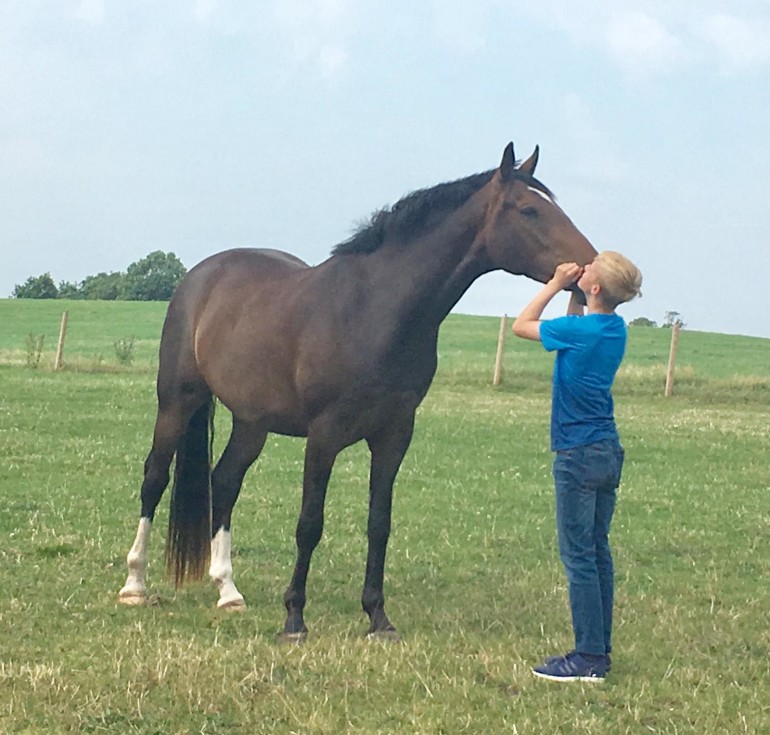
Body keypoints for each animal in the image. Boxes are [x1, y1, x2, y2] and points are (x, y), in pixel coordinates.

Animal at [118, 142, 592, 640]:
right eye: (529, 210)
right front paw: (295, 618)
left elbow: (379, 523)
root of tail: (200, 276)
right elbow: (310, 523)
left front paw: (378, 617)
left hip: (252, 422)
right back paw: (134, 585)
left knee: (225, 481)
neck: (374, 309)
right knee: (154, 478)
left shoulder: (394, 435)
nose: (590, 268)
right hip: (177, 401)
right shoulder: (324, 435)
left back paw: (228, 591)